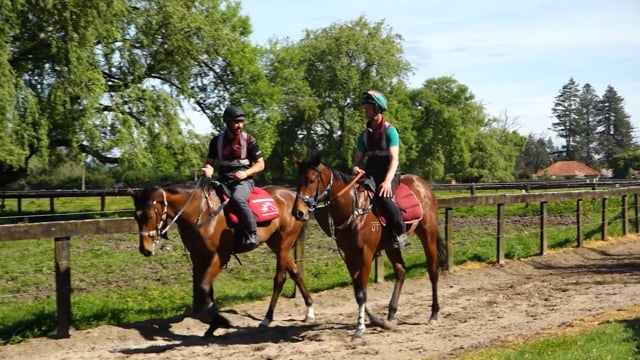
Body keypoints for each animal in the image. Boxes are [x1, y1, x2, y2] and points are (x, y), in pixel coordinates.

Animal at [129, 181, 314, 336]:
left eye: (149, 216)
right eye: (136, 216)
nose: (145, 249)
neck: (201, 212)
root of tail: (292, 195)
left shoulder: (219, 256)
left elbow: (203, 286)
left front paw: (220, 321)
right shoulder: (198, 257)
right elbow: (205, 289)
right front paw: (213, 325)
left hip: (284, 243)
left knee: (280, 279)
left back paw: (267, 318)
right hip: (276, 244)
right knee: (295, 272)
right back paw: (309, 311)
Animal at [294, 153, 448, 338]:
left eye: (310, 180)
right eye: (297, 181)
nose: (298, 212)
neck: (354, 207)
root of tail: (423, 184)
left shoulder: (365, 254)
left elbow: (362, 292)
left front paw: (360, 328)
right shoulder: (349, 255)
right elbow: (358, 291)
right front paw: (375, 320)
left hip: (428, 234)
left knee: (433, 270)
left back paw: (434, 313)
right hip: (391, 245)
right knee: (401, 271)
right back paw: (390, 314)